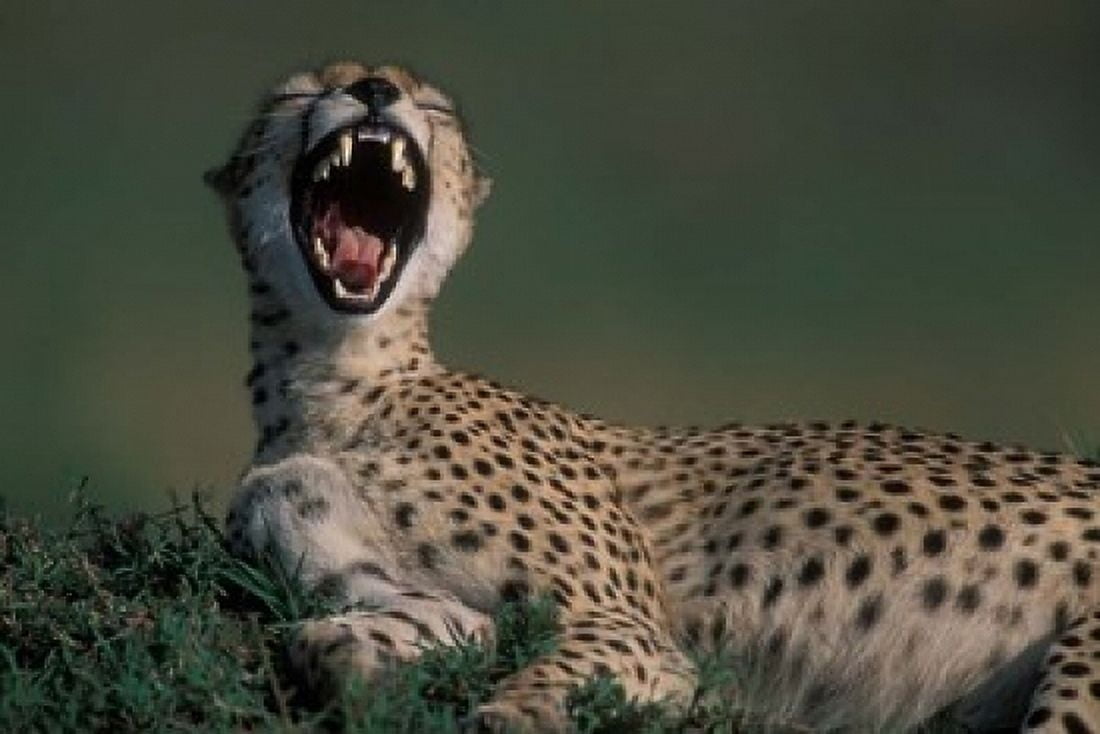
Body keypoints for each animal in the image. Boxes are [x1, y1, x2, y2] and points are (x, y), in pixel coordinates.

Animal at [208, 61, 1100, 733]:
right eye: (297, 93)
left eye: (430, 103)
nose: (375, 91)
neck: (339, 382)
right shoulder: (378, 575)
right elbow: (350, 634)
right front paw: (364, 667)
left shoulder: (633, 626)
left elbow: (569, 672)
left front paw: (514, 711)